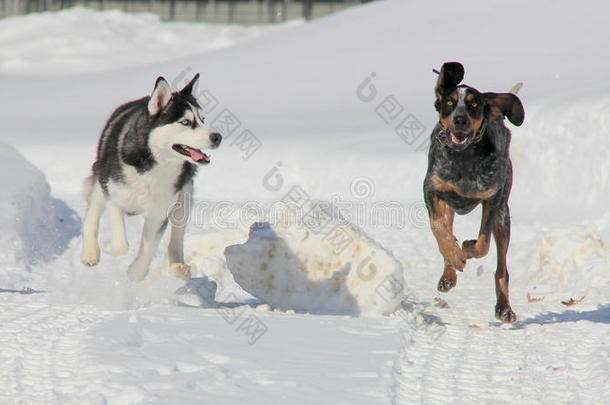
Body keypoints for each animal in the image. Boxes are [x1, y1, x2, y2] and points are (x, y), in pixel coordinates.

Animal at [81, 74, 221, 280]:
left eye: (203, 119)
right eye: (185, 122)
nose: (217, 137)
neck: (154, 165)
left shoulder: (159, 212)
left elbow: (149, 248)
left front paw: (136, 272)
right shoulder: (115, 198)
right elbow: (121, 244)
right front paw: (108, 246)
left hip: (184, 197)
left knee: (177, 236)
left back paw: (178, 265)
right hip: (102, 181)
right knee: (91, 214)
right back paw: (90, 253)